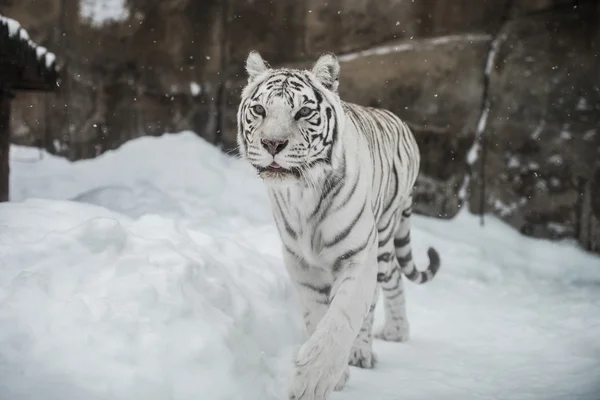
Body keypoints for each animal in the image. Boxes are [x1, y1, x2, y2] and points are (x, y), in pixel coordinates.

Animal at [236, 50, 440, 400]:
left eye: (303, 111)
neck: (302, 192)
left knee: (385, 285)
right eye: (260, 109)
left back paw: (382, 339)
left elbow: (341, 317)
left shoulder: (358, 255)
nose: (272, 143)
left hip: (384, 234)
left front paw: (312, 380)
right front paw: (335, 375)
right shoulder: (300, 262)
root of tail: (398, 120)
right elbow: (317, 314)